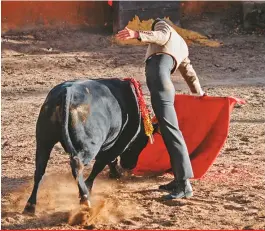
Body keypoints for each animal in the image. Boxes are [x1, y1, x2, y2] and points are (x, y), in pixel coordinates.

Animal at [23, 78, 157, 214]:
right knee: (77, 165)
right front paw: (92, 184)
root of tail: (66, 92)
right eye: (143, 142)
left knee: (40, 169)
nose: (129, 166)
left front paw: (114, 174)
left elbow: (108, 161)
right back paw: (85, 198)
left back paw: (30, 205)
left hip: (43, 142)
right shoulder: (116, 145)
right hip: (90, 146)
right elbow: (101, 164)